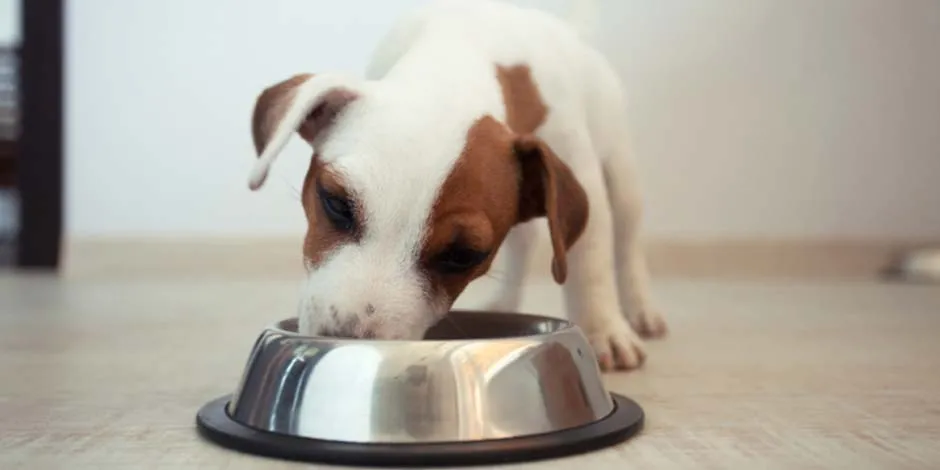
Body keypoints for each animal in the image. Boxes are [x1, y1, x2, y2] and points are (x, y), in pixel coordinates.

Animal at [246, 0, 664, 370]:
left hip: (621, 175)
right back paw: (504, 301)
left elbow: (589, 263)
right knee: (524, 240)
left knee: (626, 243)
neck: (459, 55)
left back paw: (641, 309)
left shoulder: (581, 170)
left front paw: (603, 329)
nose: (346, 340)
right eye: (335, 203)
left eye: (463, 255)